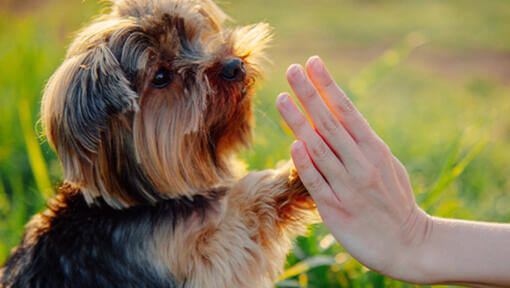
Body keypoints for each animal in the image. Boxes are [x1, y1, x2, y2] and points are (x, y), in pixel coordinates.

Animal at [0, 0, 316, 286]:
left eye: (194, 37)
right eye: (161, 76)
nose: (235, 66)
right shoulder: (198, 259)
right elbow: (239, 219)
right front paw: (296, 173)